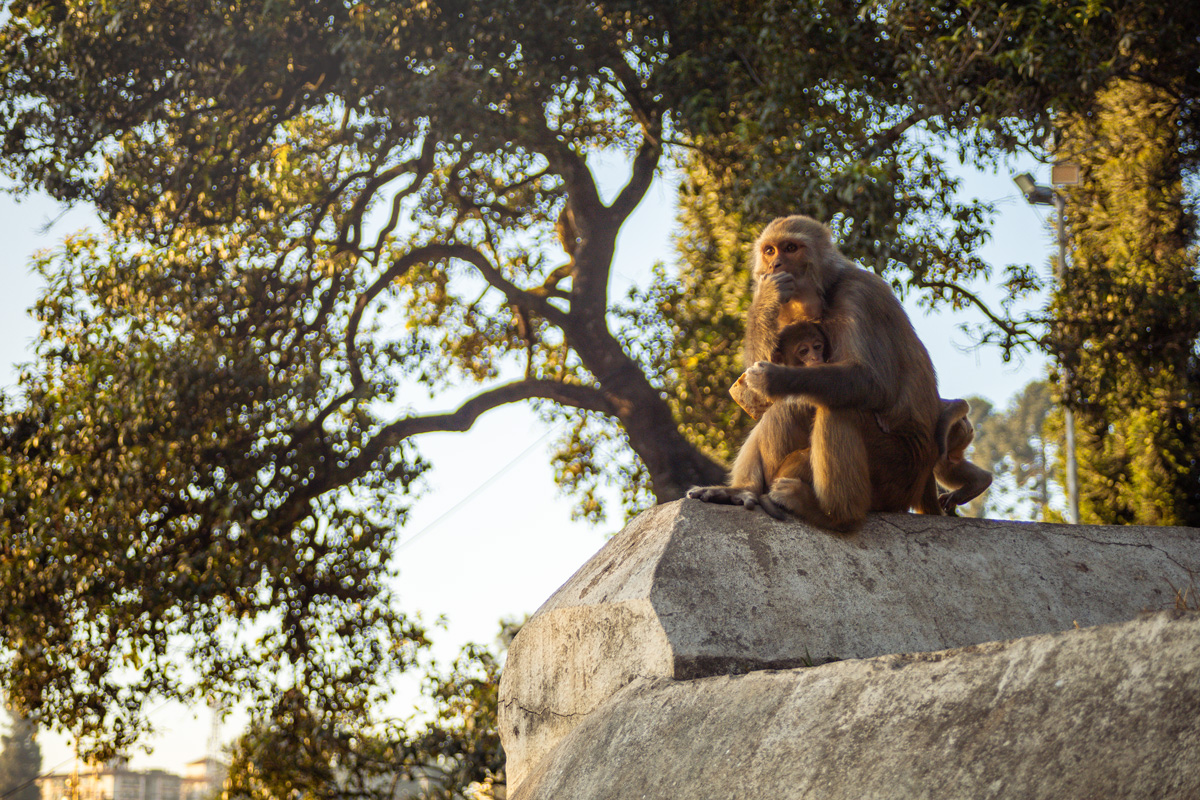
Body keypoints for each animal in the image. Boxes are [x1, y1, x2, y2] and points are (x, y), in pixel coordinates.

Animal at [688, 215, 942, 532]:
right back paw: (742, 489)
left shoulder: (859, 295)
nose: (775, 265)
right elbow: (759, 394)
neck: (825, 292)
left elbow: (874, 383)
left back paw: (834, 515)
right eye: (770, 251)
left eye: (790, 248)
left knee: (838, 407)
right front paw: (766, 296)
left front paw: (775, 379)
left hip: (896, 475)